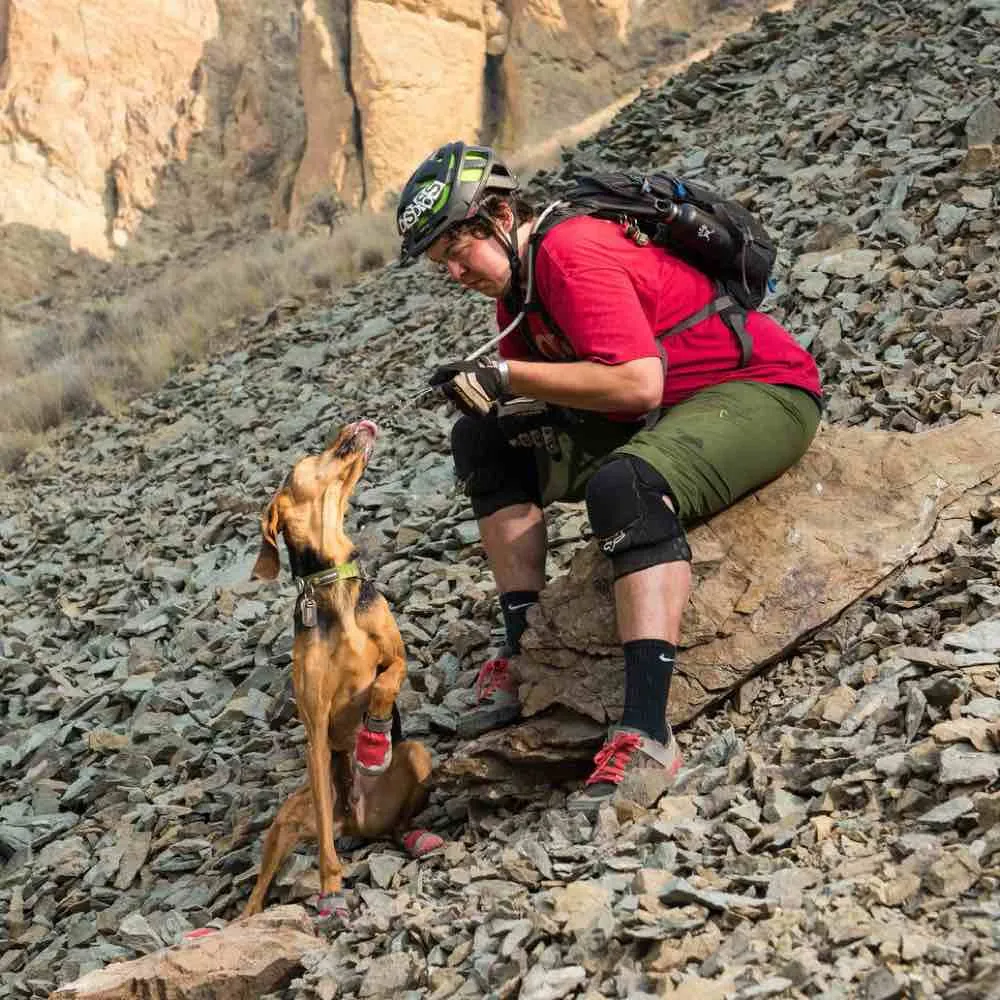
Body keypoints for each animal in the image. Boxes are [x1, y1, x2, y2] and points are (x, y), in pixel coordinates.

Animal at [241, 418, 438, 916]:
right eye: (311, 455)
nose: (355, 423)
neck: (331, 580)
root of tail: (358, 821)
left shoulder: (396, 656)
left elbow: (386, 680)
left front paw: (373, 739)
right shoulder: (316, 723)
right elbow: (325, 851)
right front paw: (331, 887)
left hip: (418, 758)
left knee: (398, 820)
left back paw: (414, 834)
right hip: (289, 820)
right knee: (265, 882)